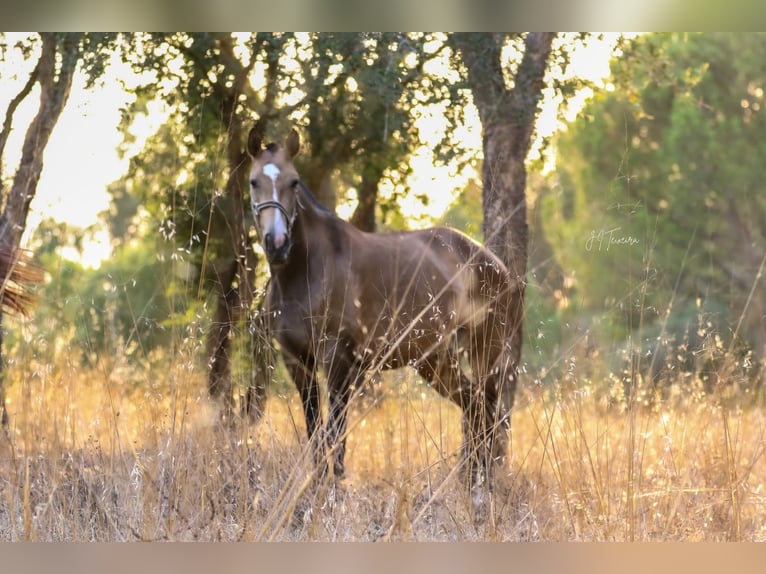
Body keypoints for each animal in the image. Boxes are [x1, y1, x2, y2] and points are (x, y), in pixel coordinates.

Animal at [249, 128, 524, 492]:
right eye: (253, 182)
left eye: (294, 182)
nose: (277, 244)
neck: (304, 272)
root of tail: (498, 267)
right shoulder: (297, 362)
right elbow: (315, 432)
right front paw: (318, 488)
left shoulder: (338, 361)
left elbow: (336, 434)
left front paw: (335, 489)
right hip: (436, 361)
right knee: (477, 409)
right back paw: (472, 480)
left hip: (482, 351)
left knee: (487, 411)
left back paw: (480, 483)